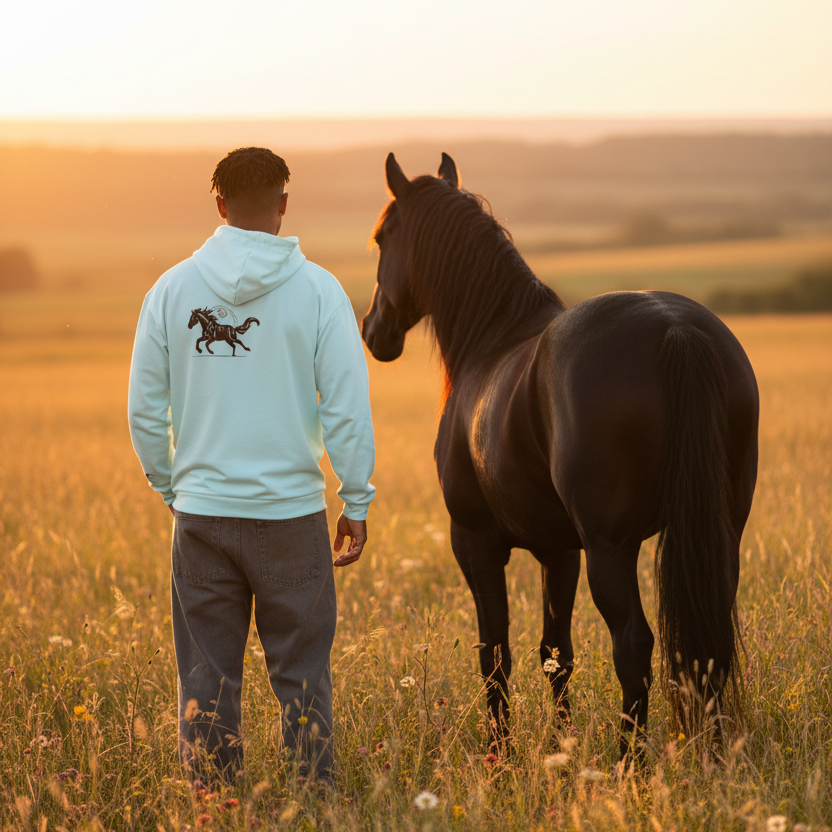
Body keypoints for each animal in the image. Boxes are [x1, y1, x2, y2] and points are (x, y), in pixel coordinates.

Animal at [362, 152, 759, 759]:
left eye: (383, 237)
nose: (372, 331)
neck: (492, 339)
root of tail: (676, 329)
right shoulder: (559, 550)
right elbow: (556, 655)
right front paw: (562, 748)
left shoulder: (476, 542)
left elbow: (494, 655)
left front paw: (500, 756)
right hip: (719, 532)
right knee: (707, 643)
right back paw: (711, 755)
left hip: (610, 548)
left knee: (633, 645)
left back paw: (629, 763)